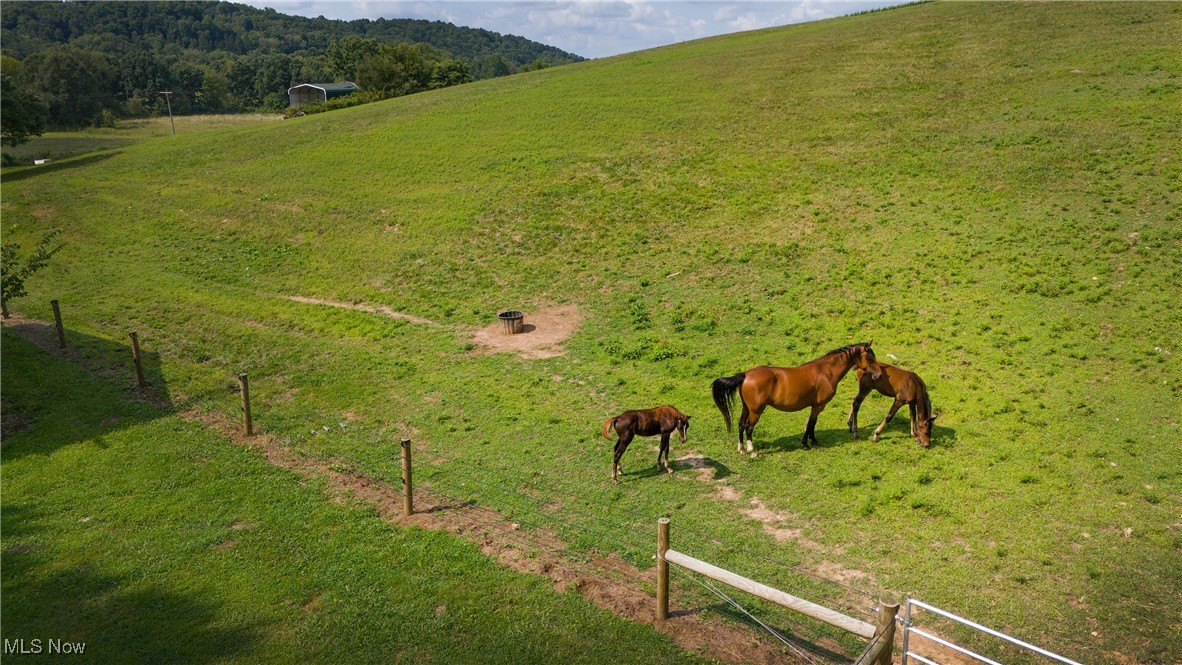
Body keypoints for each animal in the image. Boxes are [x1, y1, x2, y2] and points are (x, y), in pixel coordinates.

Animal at [709, 342, 879, 458]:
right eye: (869, 357)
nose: (878, 375)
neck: (826, 371)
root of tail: (746, 374)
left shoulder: (817, 406)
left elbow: (813, 424)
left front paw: (813, 440)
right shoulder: (818, 406)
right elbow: (810, 424)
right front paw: (805, 444)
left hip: (747, 408)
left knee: (740, 424)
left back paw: (742, 449)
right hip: (756, 411)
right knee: (748, 427)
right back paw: (752, 451)